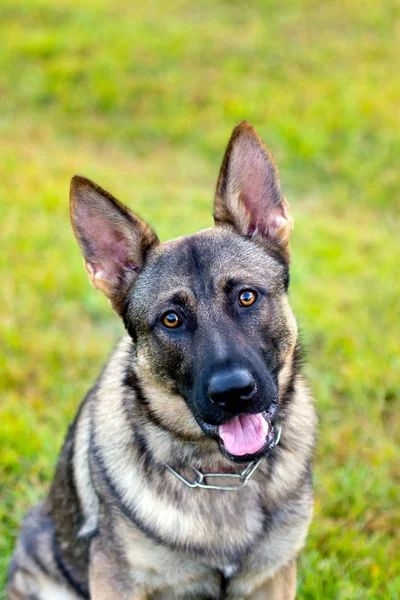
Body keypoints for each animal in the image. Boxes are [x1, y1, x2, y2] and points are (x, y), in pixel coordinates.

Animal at [7, 123, 316, 600]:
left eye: (246, 296)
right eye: (171, 319)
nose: (234, 393)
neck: (221, 473)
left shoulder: (274, 575)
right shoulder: (116, 579)